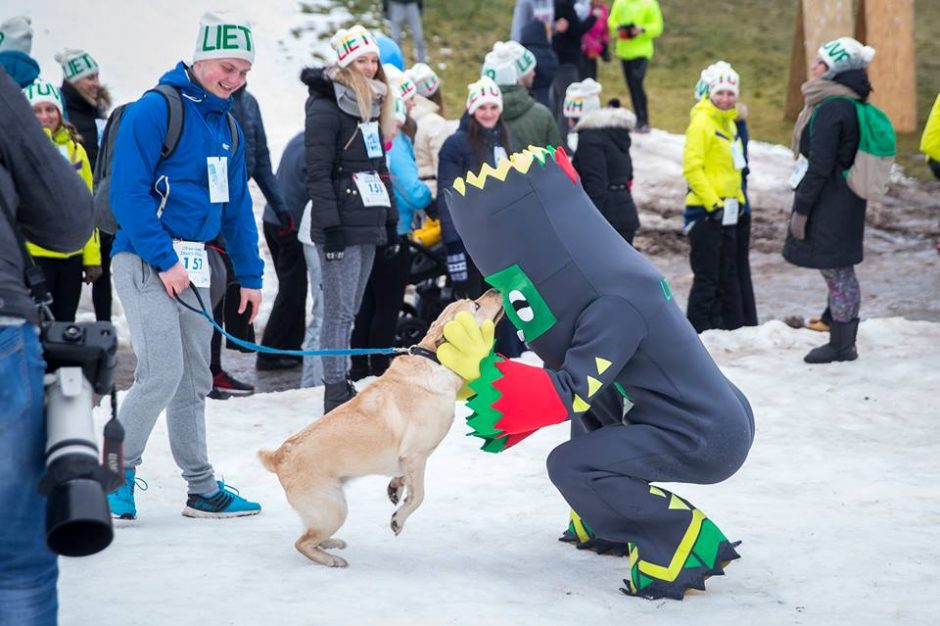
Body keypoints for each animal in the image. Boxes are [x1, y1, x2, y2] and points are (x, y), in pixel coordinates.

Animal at [258, 288, 504, 564]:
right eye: (475, 305)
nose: (494, 289)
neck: (436, 360)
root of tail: (278, 457)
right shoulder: (416, 456)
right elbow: (418, 496)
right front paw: (398, 519)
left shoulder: (408, 460)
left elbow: (404, 481)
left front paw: (395, 488)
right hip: (334, 508)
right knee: (302, 542)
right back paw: (331, 559)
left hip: (329, 508)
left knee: (309, 535)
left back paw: (331, 545)